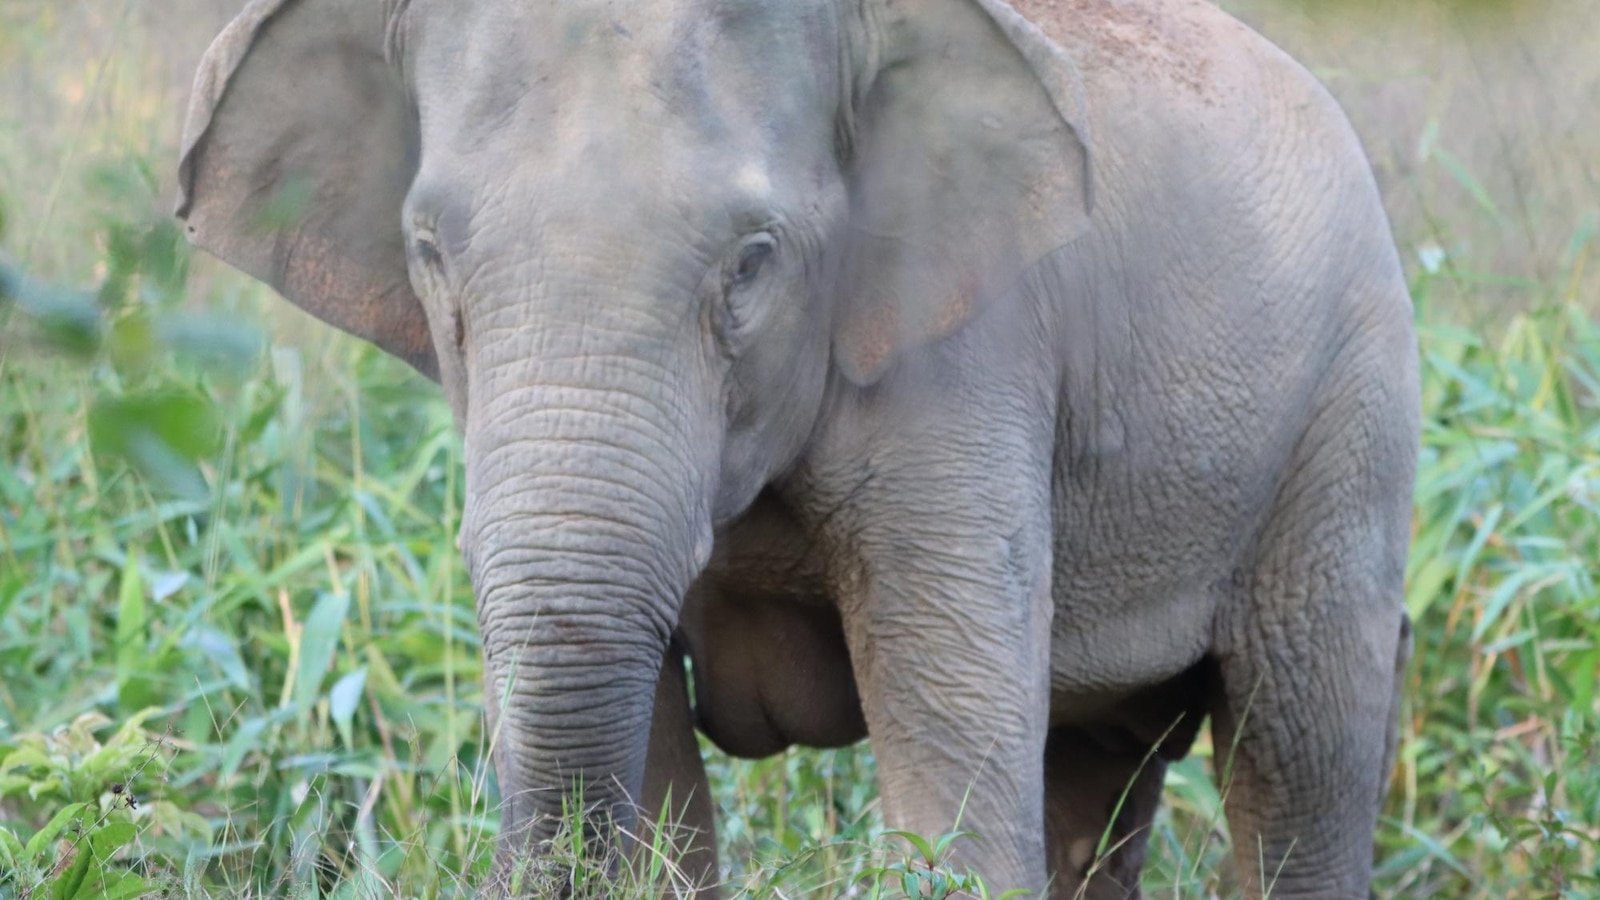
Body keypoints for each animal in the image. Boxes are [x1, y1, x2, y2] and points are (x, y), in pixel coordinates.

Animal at [175, 0, 1420, 896]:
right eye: (428, 250)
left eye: (751, 260)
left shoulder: (969, 360)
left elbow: (952, 764)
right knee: (1095, 776)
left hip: (1347, 420)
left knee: (1301, 757)